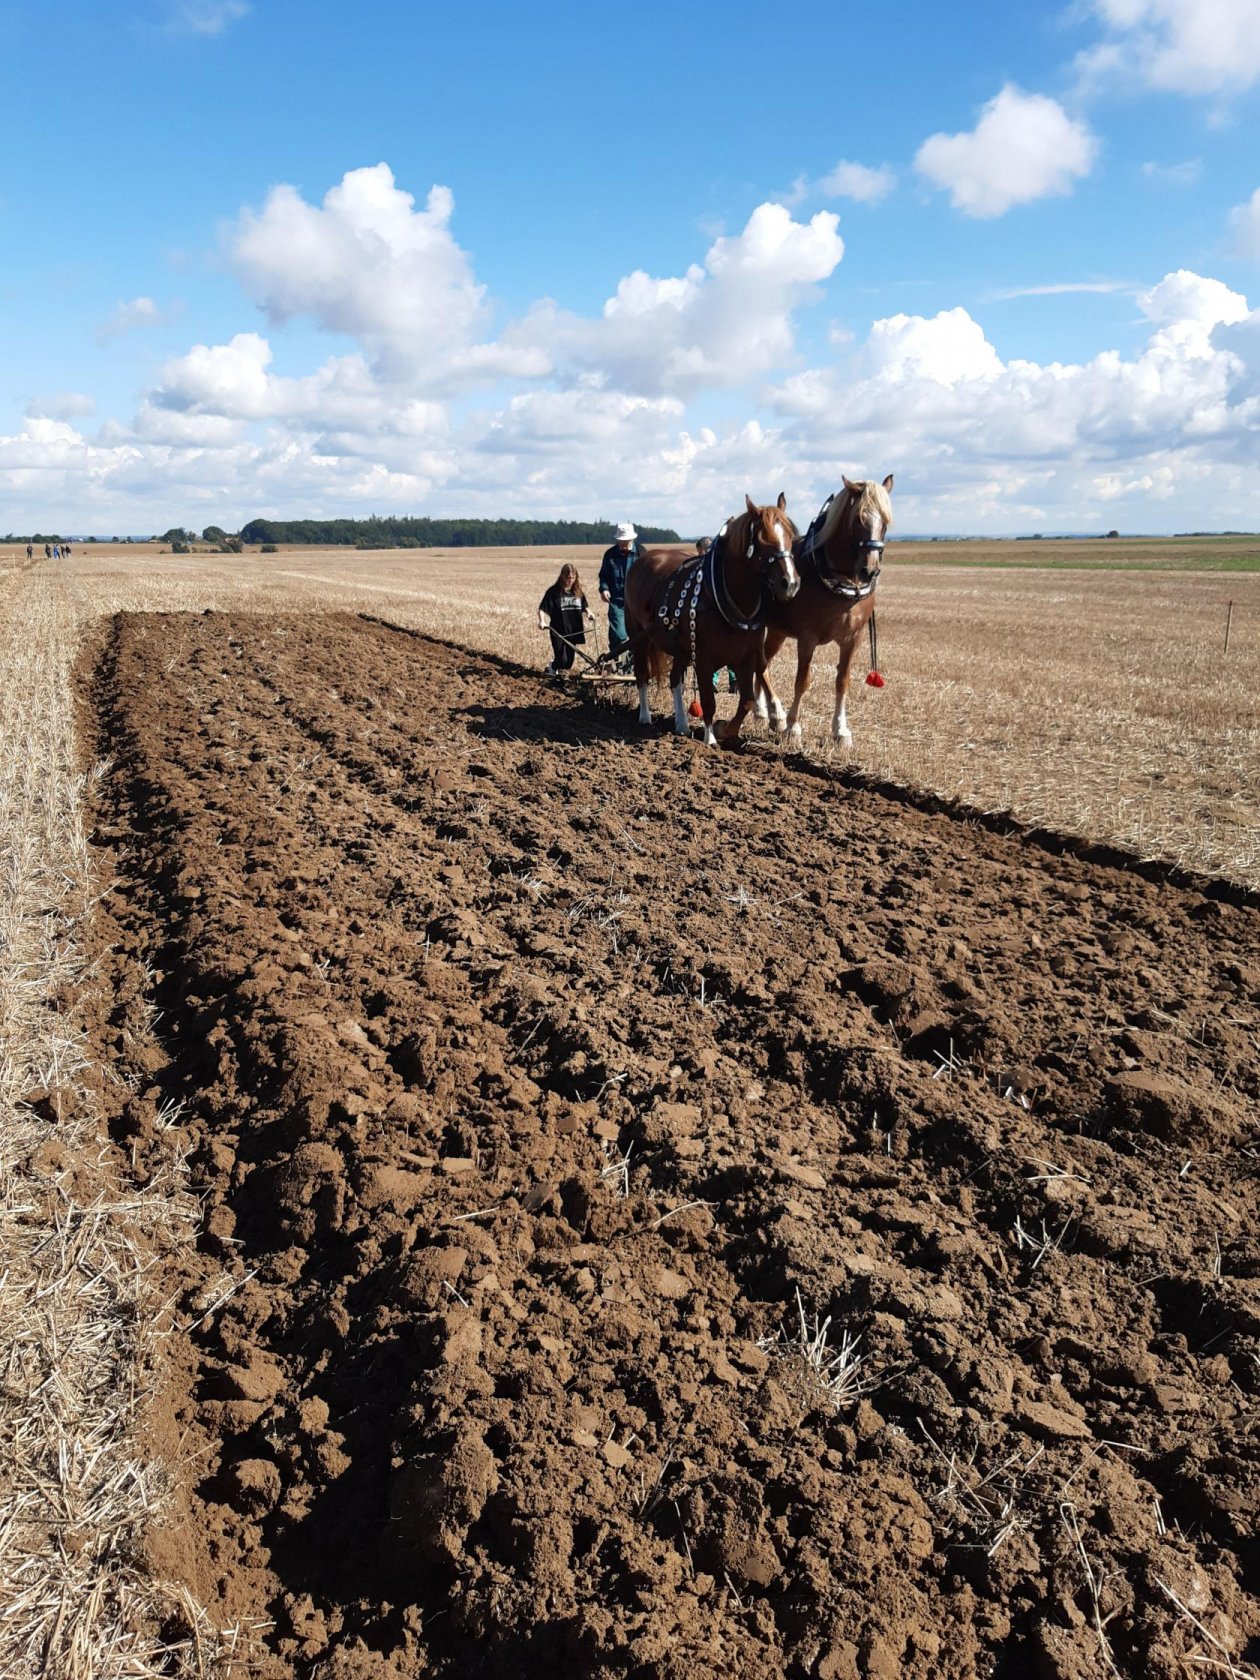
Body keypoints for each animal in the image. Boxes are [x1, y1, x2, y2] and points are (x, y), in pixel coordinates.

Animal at [628, 490, 803, 742]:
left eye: (790, 536)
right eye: (763, 540)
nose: (790, 583)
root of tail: (643, 559)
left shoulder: (745, 658)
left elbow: (747, 700)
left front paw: (726, 729)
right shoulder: (703, 660)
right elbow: (708, 702)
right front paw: (709, 738)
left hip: (679, 648)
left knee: (675, 681)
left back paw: (682, 724)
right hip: (638, 636)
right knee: (642, 675)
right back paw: (644, 716)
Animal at [756, 480, 893, 756]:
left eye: (885, 520)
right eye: (859, 519)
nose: (870, 570)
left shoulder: (853, 638)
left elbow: (842, 681)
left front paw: (841, 732)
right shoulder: (807, 637)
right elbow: (802, 681)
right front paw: (793, 728)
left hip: (777, 631)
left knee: (763, 662)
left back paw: (762, 711)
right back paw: (773, 714)